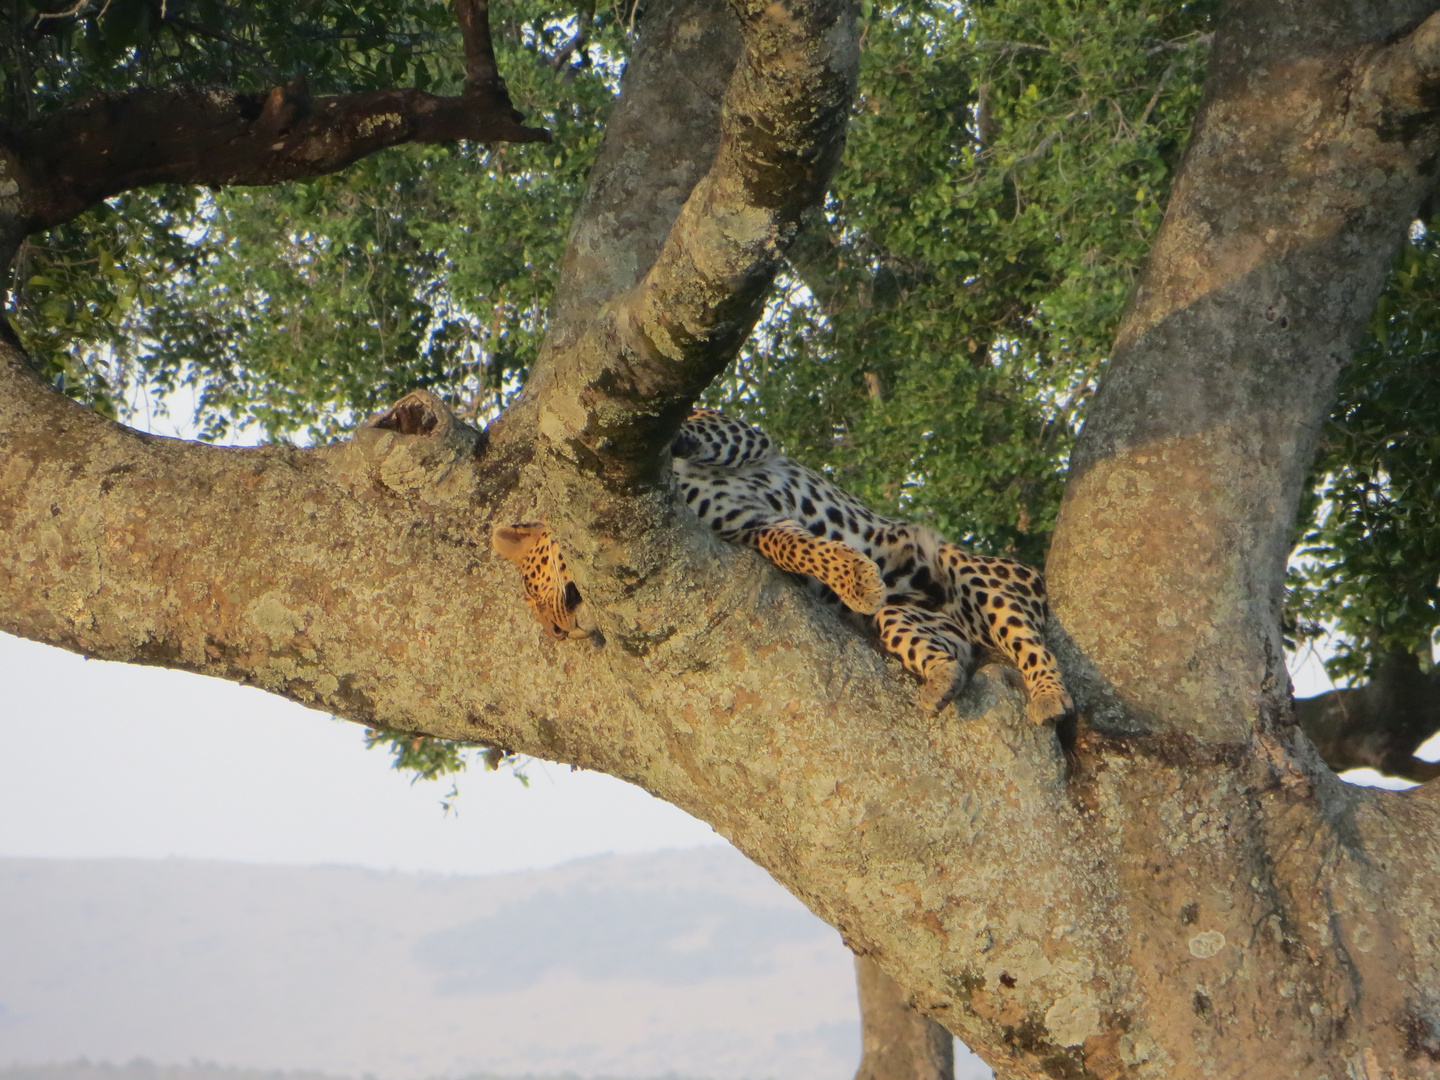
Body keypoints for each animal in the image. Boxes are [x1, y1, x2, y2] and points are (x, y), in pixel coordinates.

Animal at [495, 408, 1071, 722]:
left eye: (533, 592)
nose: (557, 632)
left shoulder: (744, 435)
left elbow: (699, 430)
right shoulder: (749, 524)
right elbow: (794, 547)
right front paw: (855, 578)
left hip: (980, 573)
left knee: (1030, 642)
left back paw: (1049, 696)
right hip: (906, 618)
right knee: (942, 651)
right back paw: (937, 681)